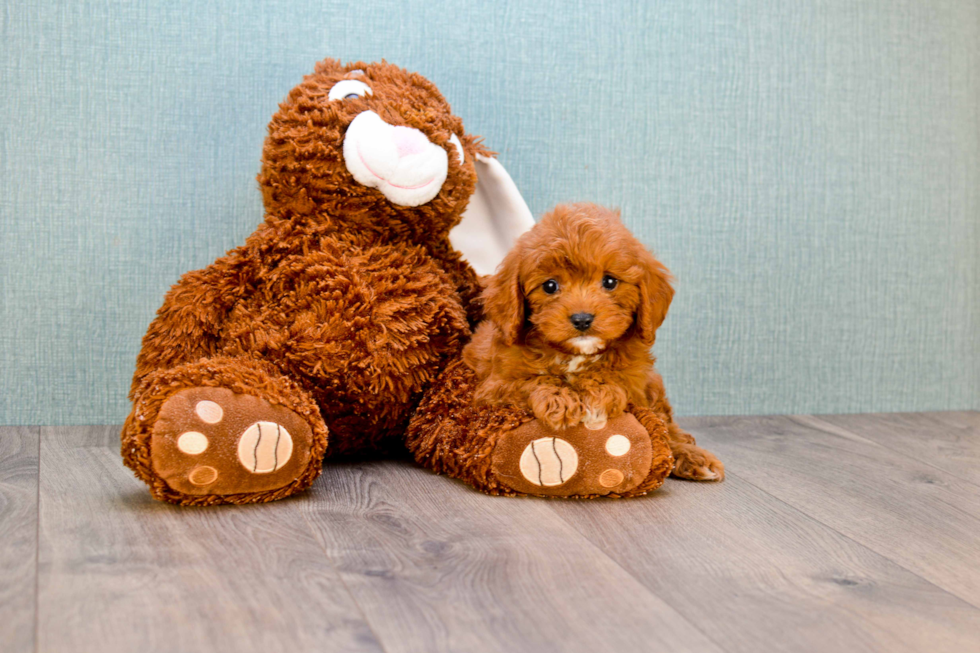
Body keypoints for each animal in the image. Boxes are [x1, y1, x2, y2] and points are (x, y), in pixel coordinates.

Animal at [464, 201, 724, 482]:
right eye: (550, 286)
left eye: (609, 281)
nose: (581, 319)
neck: (575, 354)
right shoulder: (493, 387)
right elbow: (532, 380)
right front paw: (560, 399)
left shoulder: (637, 380)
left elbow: (616, 381)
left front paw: (598, 392)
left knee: (665, 423)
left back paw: (691, 454)